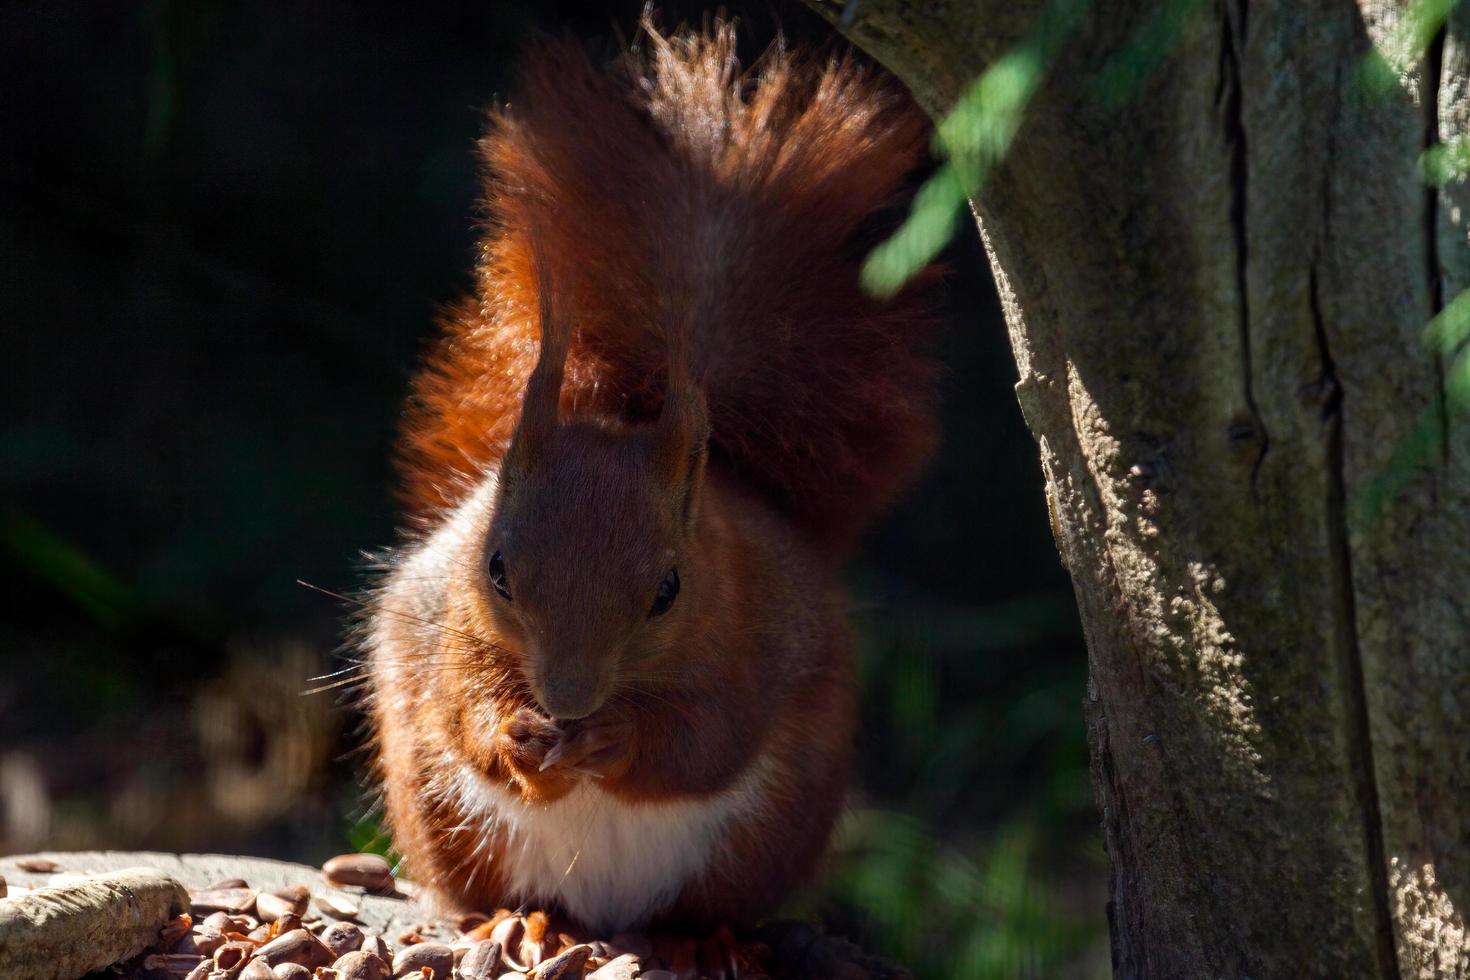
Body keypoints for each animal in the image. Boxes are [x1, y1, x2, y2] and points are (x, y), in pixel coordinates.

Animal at [367, 19, 940, 934]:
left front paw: (616, 741)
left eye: (669, 591)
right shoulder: (451, 629)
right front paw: (516, 736)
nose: (566, 702)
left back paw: (704, 941)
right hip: (437, 810)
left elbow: (704, 740)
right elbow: (464, 710)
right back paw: (510, 921)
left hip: (766, 838)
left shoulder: (752, 641)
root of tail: (605, 915)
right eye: (497, 570)